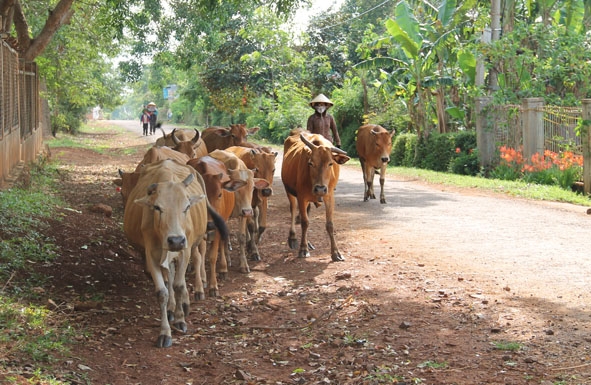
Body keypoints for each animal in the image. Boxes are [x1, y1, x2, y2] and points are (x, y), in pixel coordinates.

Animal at [123, 159, 228, 348]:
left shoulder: (184, 250)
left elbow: (179, 285)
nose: (176, 240)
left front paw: (180, 320)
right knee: (170, 278)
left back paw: (185, 303)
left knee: (190, 266)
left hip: (191, 245)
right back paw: (172, 308)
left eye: (187, 207)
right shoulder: (151, 255)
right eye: (157, 207)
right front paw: (165, 332)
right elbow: (163, 291)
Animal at [282, 130, 352, 260]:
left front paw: (335, 252)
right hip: (289, 190)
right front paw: (303, 249)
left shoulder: (329, 196)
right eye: (310, 163)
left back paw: (308, 242)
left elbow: (329, 224)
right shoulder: (301, 197)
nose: (320, 189)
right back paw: (293, 238)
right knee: (293, 210)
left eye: (330, 163)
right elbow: (305, 222)